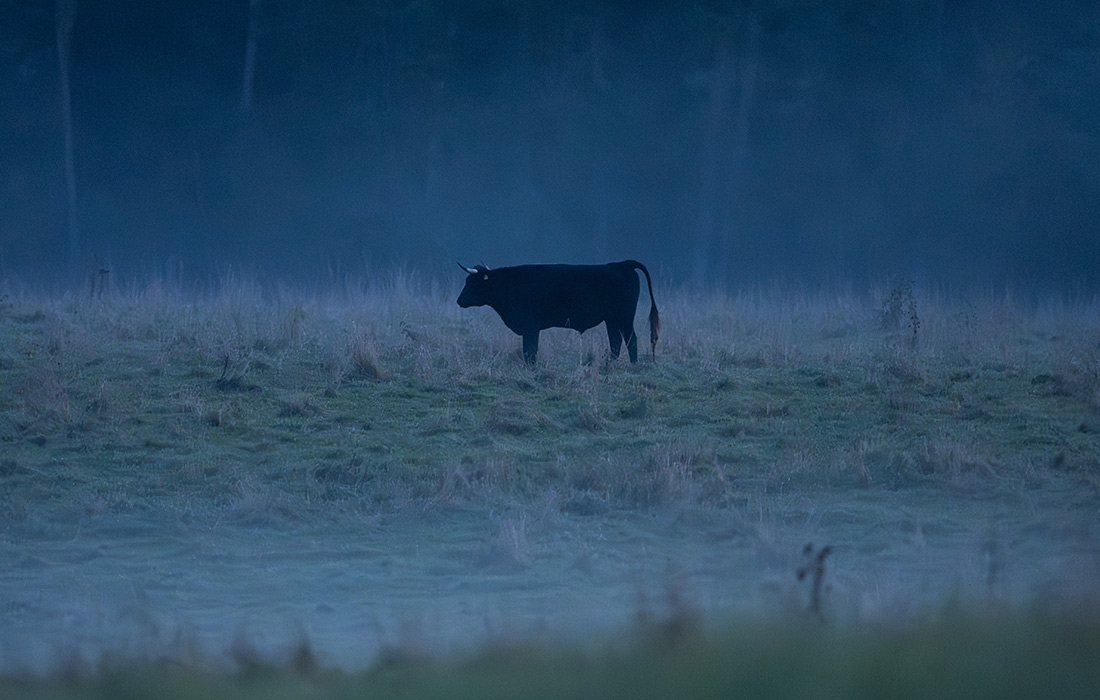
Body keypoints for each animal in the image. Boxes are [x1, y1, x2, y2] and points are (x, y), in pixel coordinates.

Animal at [451, 258, 655, 365]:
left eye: (471, 282)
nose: (459, 300)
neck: (508, 284)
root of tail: (622, 264)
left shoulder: (530, 327)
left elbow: (529, 351)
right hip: (611, 319)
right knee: (616, 341)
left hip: (625, 316)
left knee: (631, 339)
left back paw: (633, 365)